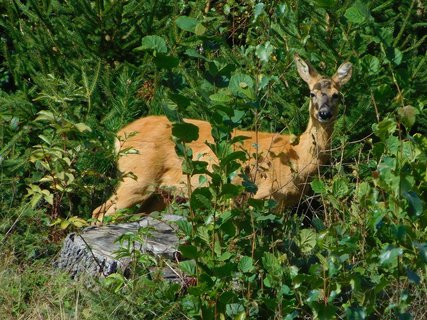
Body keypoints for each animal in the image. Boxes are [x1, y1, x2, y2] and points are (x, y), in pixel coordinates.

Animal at [93, 54, 352, 222]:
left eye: (337, 95)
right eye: (312, 93)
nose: (324, 113)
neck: (295, 159)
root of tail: (119, 136)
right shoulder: (260, 195)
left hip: (159, 193)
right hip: (137, 177)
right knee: (100, 213)